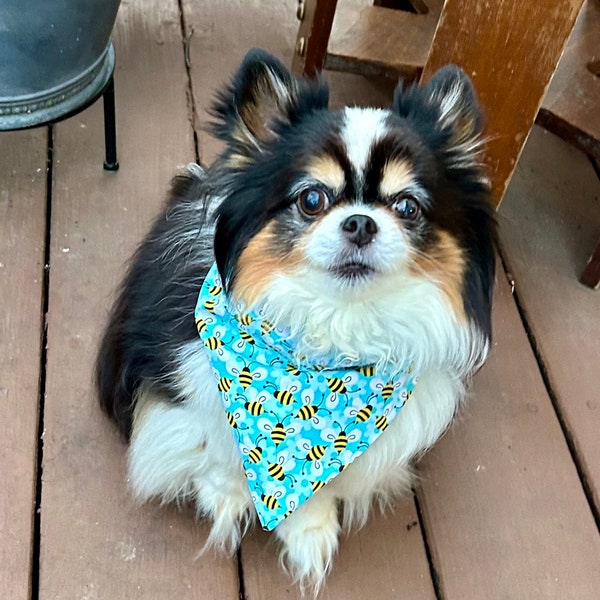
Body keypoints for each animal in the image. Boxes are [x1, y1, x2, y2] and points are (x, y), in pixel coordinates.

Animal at [96, 49, 494, 592]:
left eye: (408, 207)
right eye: (312, 199)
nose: (361, 222)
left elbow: (321, 489)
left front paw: (309, 530)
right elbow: (216, 442)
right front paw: (228, 495)